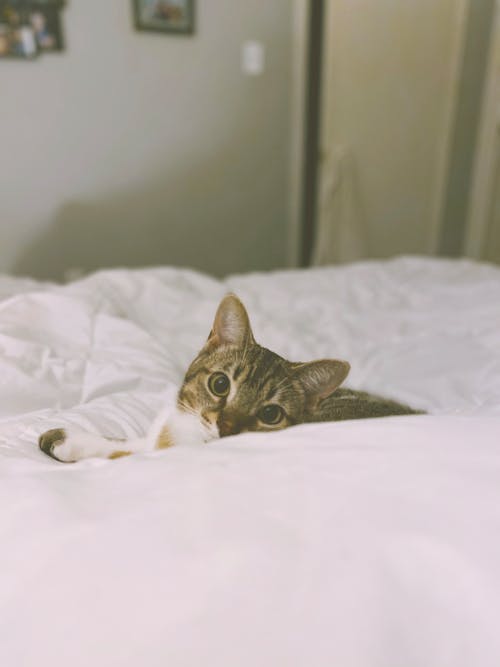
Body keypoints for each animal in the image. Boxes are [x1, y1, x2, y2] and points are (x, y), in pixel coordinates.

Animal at [40, 294, 422, 462]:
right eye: (220, 384)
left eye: (271, 414)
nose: (224, 427)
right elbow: (127, 441)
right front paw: (76, 440)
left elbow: (129, 455)